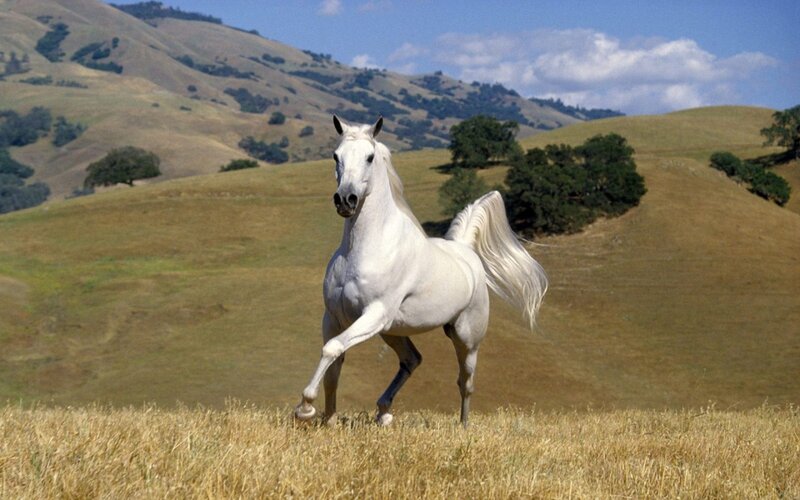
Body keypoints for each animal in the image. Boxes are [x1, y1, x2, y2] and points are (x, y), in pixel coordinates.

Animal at [294, 115, 548, 427]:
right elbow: (334, 364)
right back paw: (383, 412)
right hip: (391, 330)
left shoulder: (374, 313)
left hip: (465, 337)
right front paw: (328, 420)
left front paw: (305, 408)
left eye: (369, 157)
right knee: (412, 359)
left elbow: (332, 349)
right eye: (335, 156)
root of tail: (465, 250)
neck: (363, 249)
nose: (345, 200)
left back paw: (462, 427)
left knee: (465, 382)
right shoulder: (334, 317)